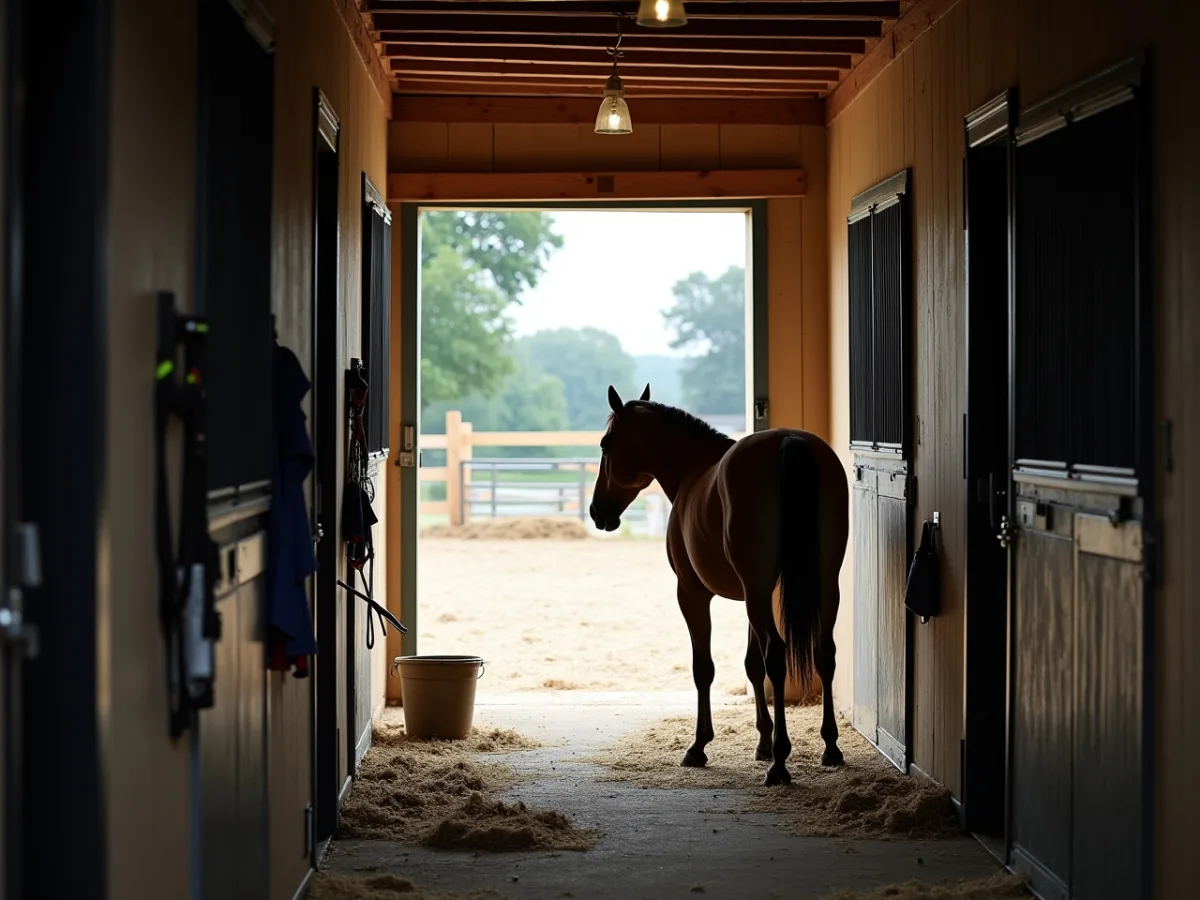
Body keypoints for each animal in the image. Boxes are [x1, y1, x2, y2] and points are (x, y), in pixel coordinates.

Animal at [589, 384, 850, 787]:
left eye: (605, 444)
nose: (596, 511)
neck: (692, 470)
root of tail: (789, 442)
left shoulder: (692, 593)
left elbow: (704, 668)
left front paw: (699, 746)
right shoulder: (755, 594)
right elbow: (751, 666)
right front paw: (761, 742)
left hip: (758, 592)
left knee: (777, 656)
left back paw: (780, 764)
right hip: (820, 584)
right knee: (824, 654)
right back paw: (830, 748)